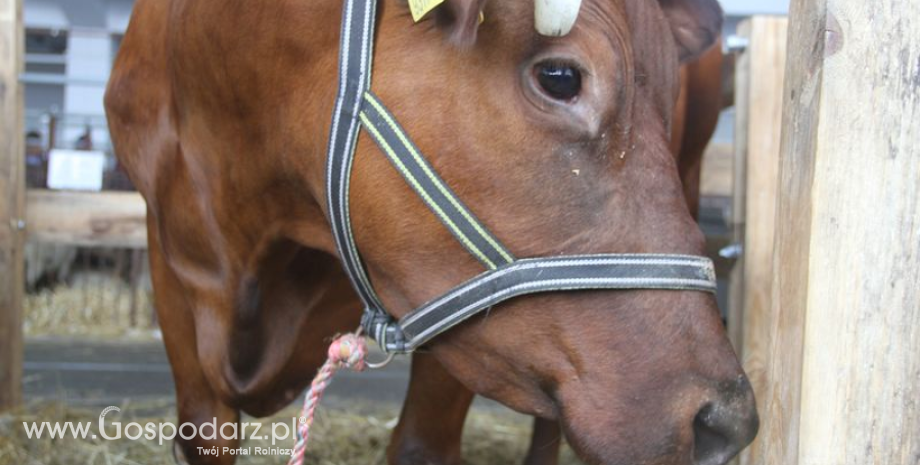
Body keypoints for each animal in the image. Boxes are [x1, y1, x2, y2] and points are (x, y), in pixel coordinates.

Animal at [106, 0, 756, 464]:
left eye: (667, 94)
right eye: (560, 76)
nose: (725, 420)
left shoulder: (457, 315)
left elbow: (420, 446)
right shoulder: (172, 260)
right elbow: (203, 437)